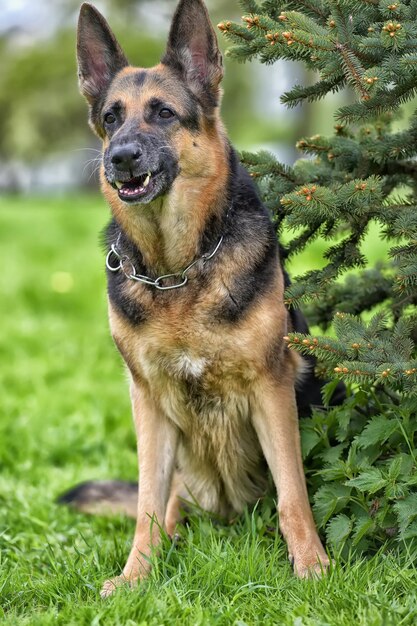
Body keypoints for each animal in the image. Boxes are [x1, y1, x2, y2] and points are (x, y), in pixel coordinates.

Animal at [70, 0, 334, 596]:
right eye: (112, 117)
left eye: (164, 113)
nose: (120, 157)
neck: (178, 270)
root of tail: (228, 516)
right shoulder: (149, 403)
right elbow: (146, 506)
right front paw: (135, 577)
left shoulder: (270, 389)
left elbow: (293, 495)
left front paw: (312, 567)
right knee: (166, 505)